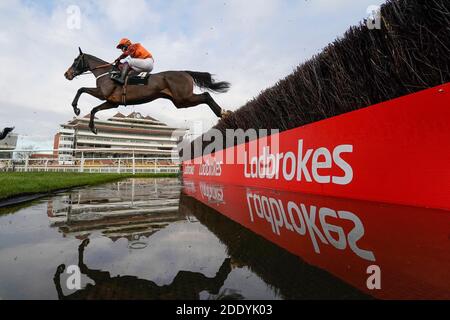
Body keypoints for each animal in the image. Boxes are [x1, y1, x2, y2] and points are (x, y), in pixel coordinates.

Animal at [64, 47, 232, 134]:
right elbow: (93, 109)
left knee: (206, 95)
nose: (67, 74)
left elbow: (81, 89)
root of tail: (184, 72)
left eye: (75, 61)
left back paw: (223, 113)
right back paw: (224, 113)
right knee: (205, 95)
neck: (107, 73)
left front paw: (76, 108)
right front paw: (92, 127)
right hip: (179, 101)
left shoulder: (103, 94)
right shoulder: (112, 102)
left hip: (183, 98)